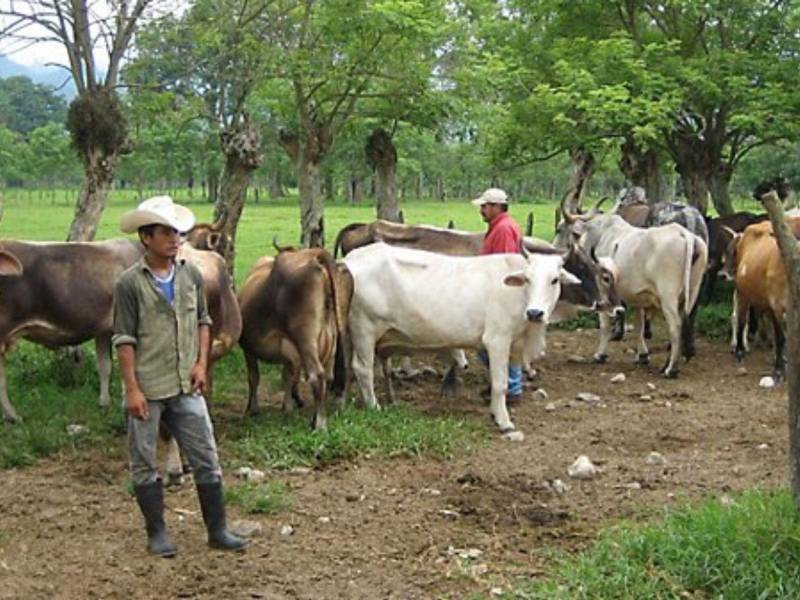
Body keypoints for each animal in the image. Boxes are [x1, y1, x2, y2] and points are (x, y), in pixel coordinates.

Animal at [236, 244, 352, 432]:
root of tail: (315, 256)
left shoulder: (248, 348)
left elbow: (254, 377)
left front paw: (252, 409)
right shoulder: (287, 351)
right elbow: (288, 376)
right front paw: (288, 408)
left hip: (306, 338)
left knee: (317, 375)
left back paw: (320, 425)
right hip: (331, 340)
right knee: (328, 376)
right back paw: (315, 418)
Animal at [340, 241, 580, 438]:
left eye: (554, 280)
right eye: (528, 279)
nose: (535, 313)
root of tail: (349, 259)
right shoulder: (497, 339)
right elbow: (500, 383)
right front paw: (503, 420)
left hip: (351, 334)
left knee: (348, 369)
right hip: (364, 329)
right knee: (362, 369)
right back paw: (374, 407)